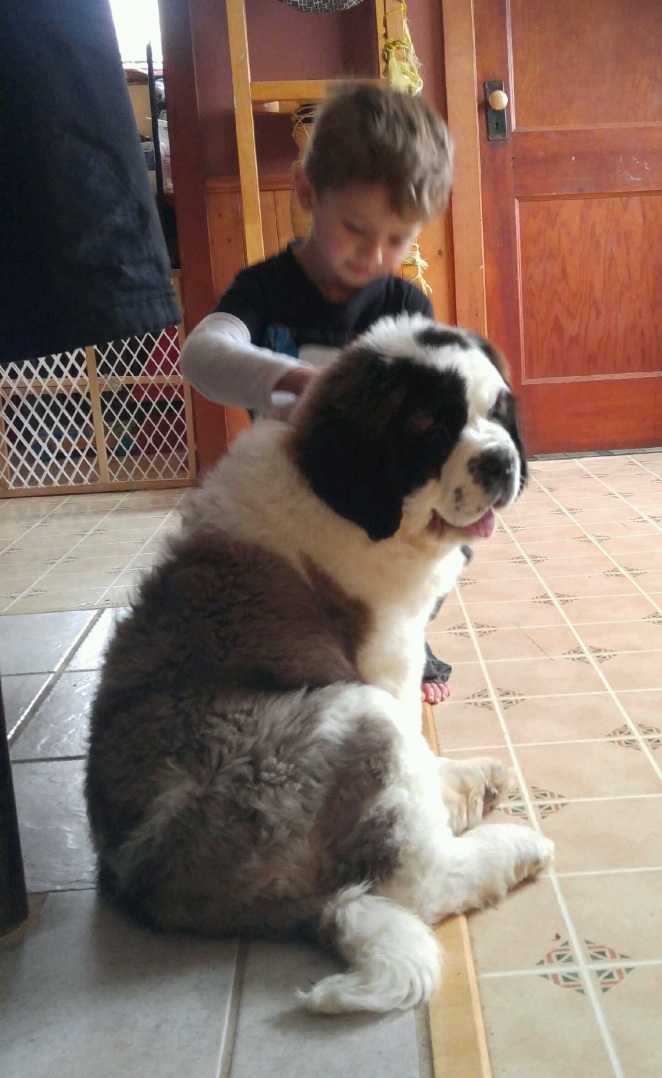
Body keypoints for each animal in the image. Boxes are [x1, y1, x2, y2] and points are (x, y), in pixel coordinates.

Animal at [86, 312, 556, 1009]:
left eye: (497, 413)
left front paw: (447, 781)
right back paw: (510, 845)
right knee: (418, 880)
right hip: (342, 716)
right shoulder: (389, 654)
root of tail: (146, 887)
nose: (502, 461)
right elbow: (411, 738)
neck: (345, 499)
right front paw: (443, 790)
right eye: (434, 429)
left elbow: (420, 760)